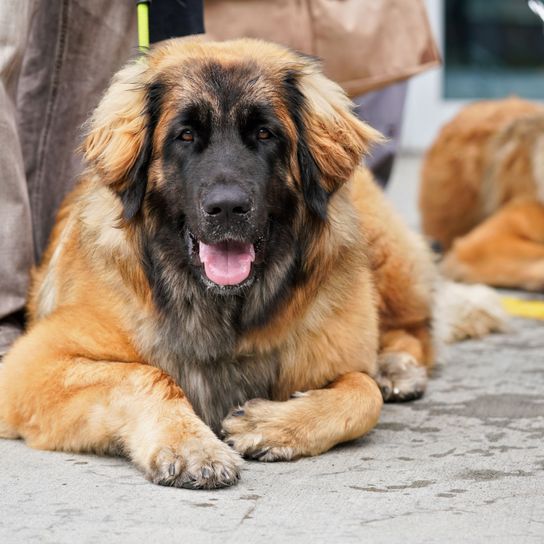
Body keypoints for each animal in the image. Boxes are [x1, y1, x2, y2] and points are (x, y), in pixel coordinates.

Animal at [0, 38, 434, 488]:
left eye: (264, 133)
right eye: (186, 135)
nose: (227, 208)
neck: (224, 307)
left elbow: (364, 392)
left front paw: (267, 424)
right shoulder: (33, 366)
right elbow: (145, 374)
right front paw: (192, 447)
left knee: (414, 329)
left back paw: (396, 369)